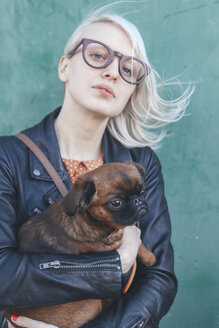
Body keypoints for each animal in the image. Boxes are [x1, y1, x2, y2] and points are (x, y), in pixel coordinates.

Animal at [4, 161, 157, 328]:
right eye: (116, 203)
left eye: (142, 191)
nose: (138, 200)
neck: (90, 220)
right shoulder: (113, 242)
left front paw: (149, 256)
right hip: (92, 303)